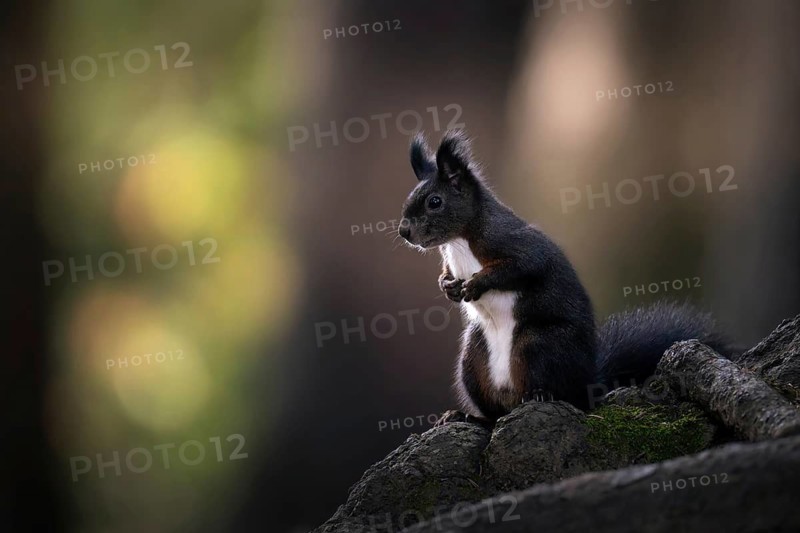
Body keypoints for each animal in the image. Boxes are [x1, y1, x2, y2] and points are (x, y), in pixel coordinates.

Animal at [399, 130, 734, 423]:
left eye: (434, 202)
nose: (403, 231)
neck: (458, 241)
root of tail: (589, 383)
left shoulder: (513, 243)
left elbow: (521, 266)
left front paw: (476, 284)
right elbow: (446, 275)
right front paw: (447, 286)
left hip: (539, 344)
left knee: (561, 395)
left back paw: (540, 396)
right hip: (473, 359)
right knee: (494, 415)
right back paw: (465, 416)